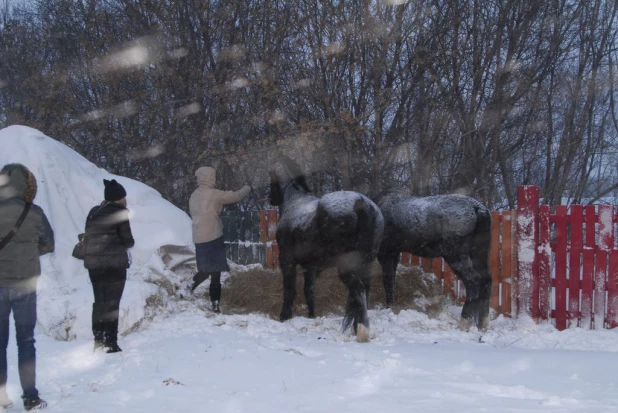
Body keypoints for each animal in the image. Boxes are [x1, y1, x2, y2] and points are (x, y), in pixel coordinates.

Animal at [268, 155, 382, 342]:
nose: (271, 198)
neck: (295, 202)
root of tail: (361, 204)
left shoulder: (287, 262)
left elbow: (289, 290)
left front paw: (284, 316)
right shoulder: (311, 267)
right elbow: (309, 291)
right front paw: (312, 316)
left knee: (358, 290)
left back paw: (362, 330)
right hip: (366, 264)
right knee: (363, 292)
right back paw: (356, 327)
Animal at [370, 189, 490, 328]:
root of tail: (479, 210)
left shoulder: (385, 253)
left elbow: (388, 281)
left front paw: (389, 306)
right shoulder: (394, 253)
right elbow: (391, 281)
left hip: (456, 255)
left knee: (473, 280)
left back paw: (465, 321)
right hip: (479, 254)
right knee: (487, 279)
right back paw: (483, 322)